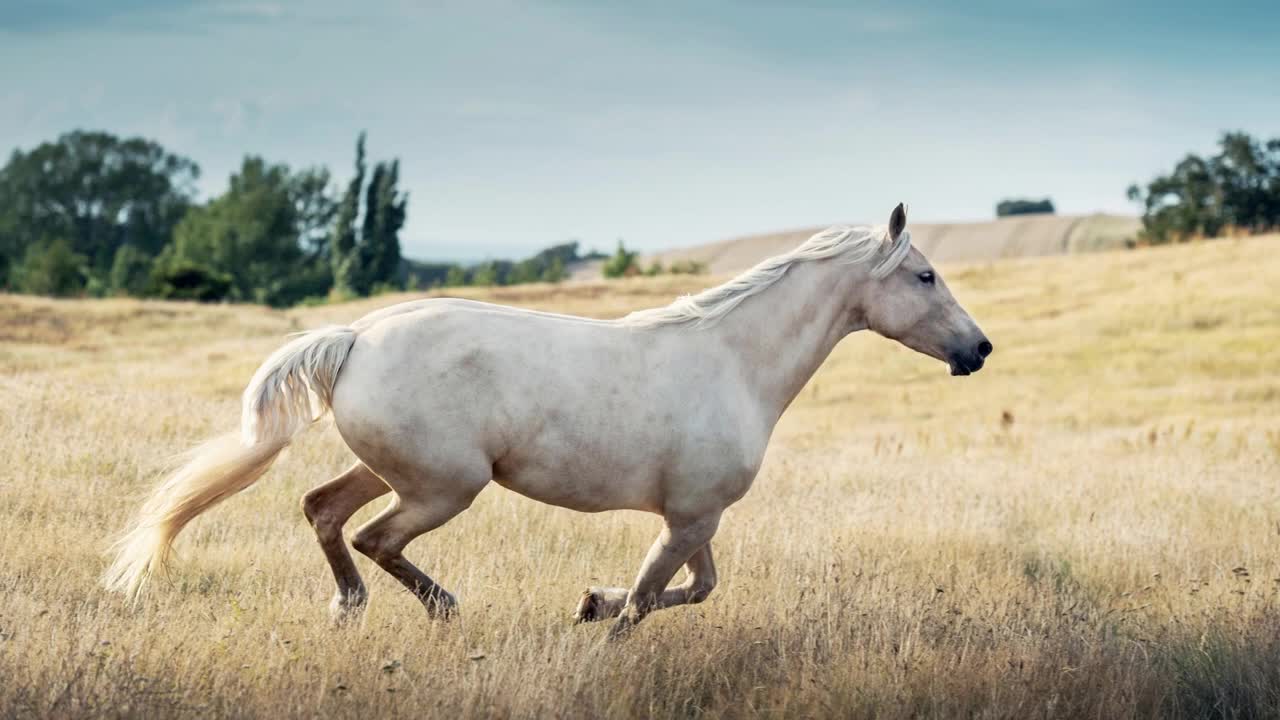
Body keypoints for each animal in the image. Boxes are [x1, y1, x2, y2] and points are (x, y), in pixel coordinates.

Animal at [104, 203, 993, 638]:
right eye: (924, 274)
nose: (978, 350)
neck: (734, 362)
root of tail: (355, 337)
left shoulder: (695, 516)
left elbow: (696, 589)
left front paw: (589, 603)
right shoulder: (690, 517)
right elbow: (646, 605)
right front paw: (596, 620)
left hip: (393, 471)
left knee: (323, 511)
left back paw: (348, 609)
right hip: (445, 487)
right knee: (374, 537)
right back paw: (444, 609)